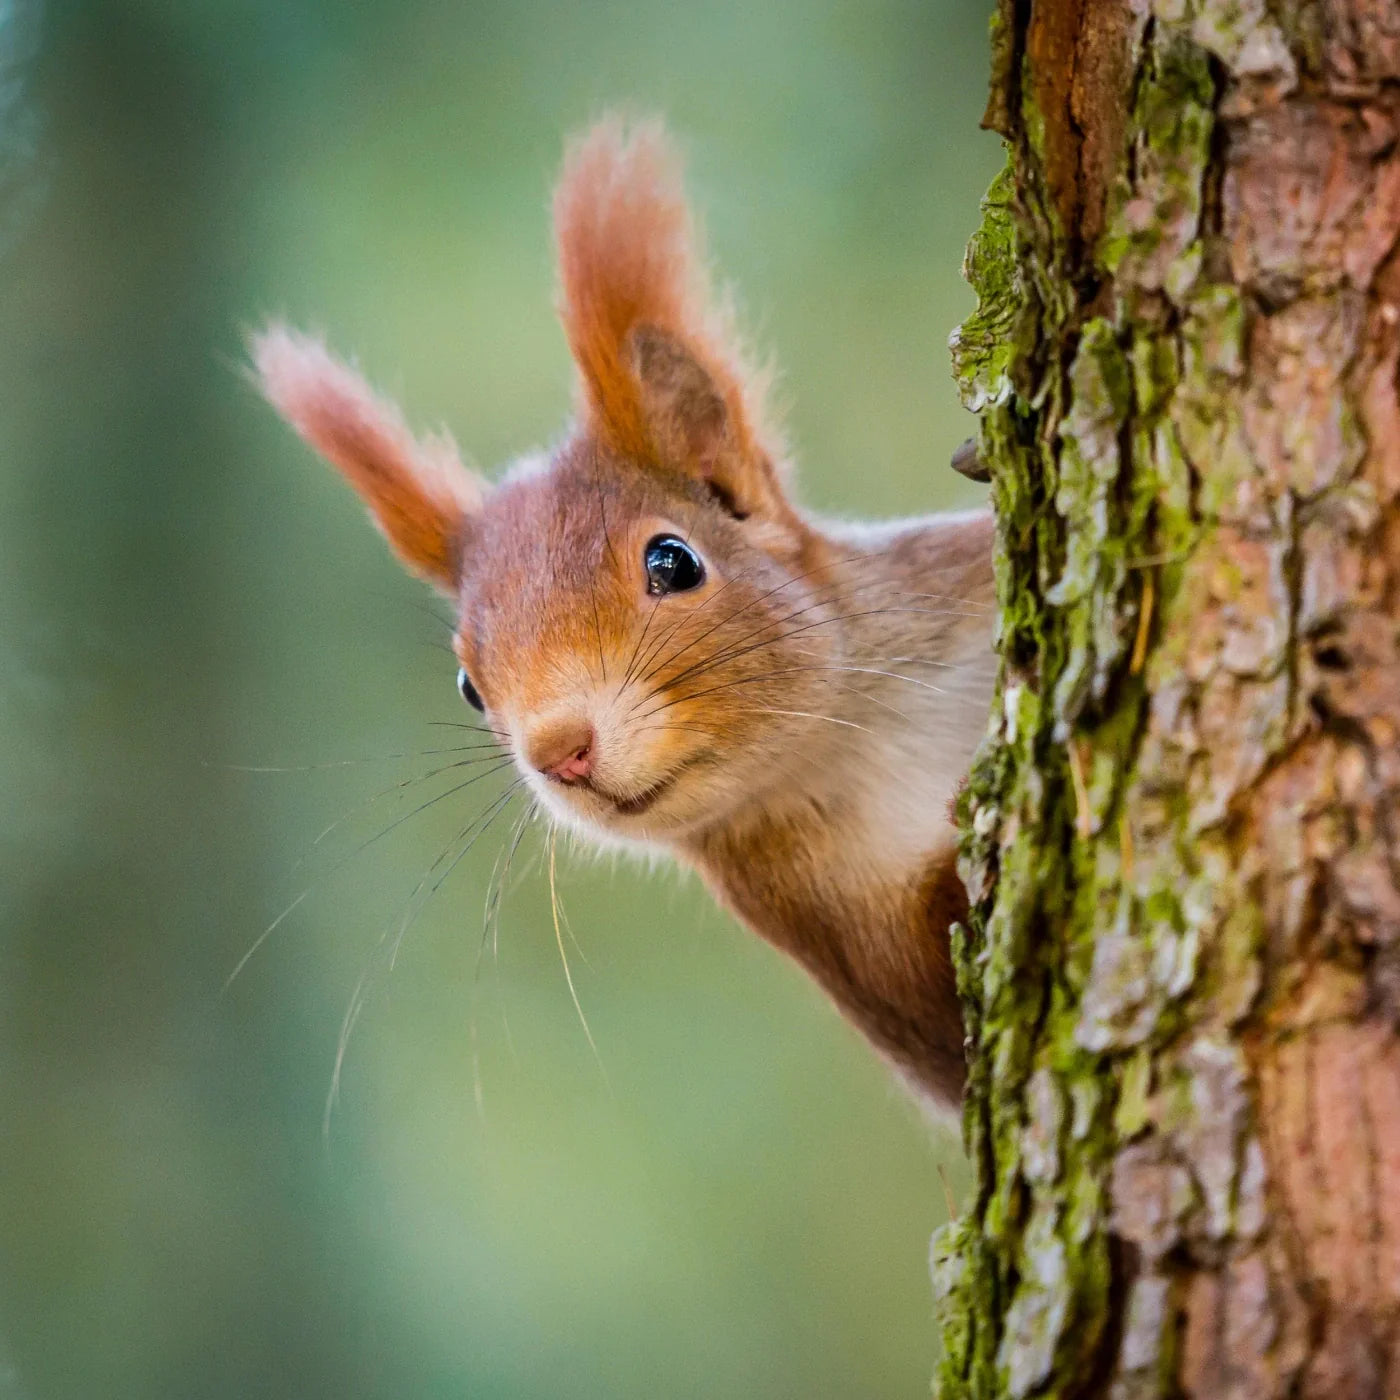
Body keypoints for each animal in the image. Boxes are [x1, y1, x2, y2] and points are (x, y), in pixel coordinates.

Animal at [251, 119, 996, 1110]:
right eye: (468, 687)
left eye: (672, 562)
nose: (559, 750)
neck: (861, 741)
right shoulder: (850, 946)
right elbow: (946, 1017)